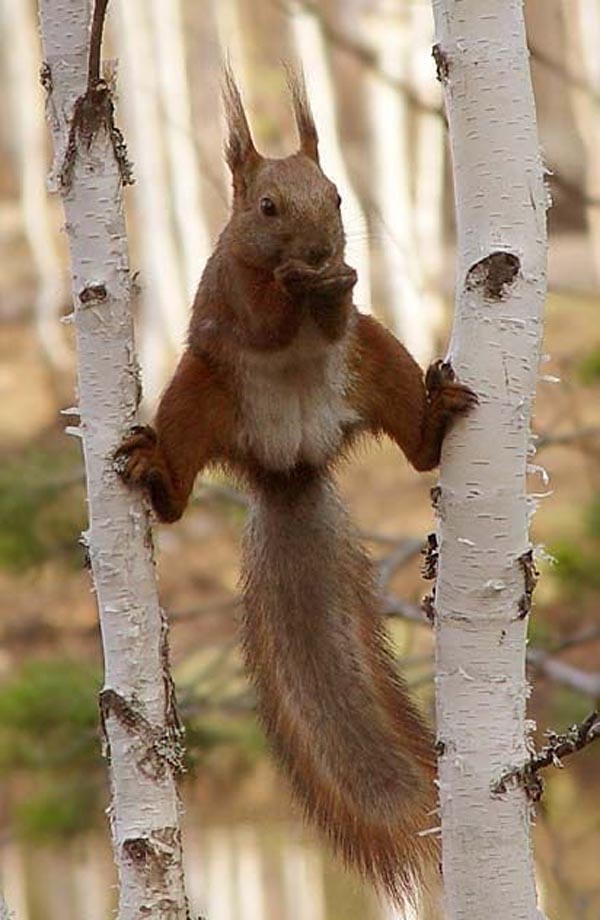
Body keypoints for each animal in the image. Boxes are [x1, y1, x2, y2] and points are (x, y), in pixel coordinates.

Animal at [115, 70, 476, 904]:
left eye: (339, 198)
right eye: (266, 207)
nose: (318, 251)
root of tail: (291, 465)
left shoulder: (346, 319)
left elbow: (336, 312)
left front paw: (337, 281)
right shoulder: (232, 290)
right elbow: (265, 317)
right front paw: (296, 286)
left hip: (377, 360)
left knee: (415, 447)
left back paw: (436, 414)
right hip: (198, 397)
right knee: (177, 493)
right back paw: (155, 474)